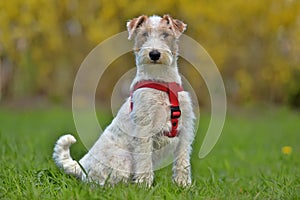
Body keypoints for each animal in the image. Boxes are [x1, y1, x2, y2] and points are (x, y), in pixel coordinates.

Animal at [53, 14, 196, 188]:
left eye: (165, 34)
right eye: (144, 34)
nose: (154, 54)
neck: (163, 83)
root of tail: (82, 166)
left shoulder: (185, 129)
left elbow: (183, 162)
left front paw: (183, 185)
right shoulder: (144, 130)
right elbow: (144, 162)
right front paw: (145, 186)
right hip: (122, 161)